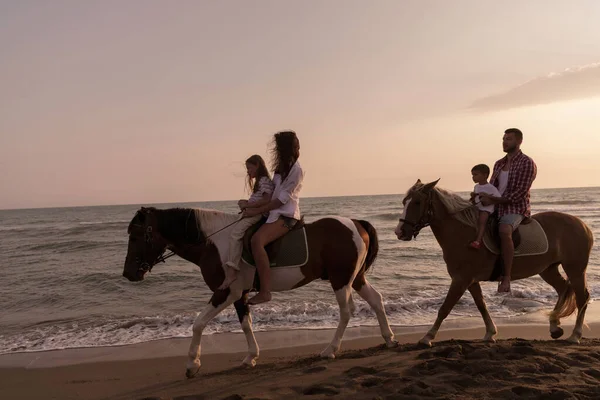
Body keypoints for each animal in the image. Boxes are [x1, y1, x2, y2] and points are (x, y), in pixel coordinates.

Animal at [122, 208, 398, 376]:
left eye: (135, 236)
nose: (128, 273)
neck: (214, 243)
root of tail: (356, 223)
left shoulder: (226, 292)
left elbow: (198, 323)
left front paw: (192, 364)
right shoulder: (240, 294)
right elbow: (246, 324)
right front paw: (250, 357)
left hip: (341, 280)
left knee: (346, 311)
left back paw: (330, 349)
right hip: (355, 278)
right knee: (376, 300)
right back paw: (388, 338)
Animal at [394, 180, 596, 346]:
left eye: (417, 202)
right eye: (404, 202)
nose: (400, 232)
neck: (464, 234)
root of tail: (583, 225)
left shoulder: (460, 280)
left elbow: (445, 308)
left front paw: (427, 337)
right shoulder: (470, 281)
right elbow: (481, 306)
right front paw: (490, 333)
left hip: (575, 269)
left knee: (582, 297)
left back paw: (575, 335)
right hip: (548, 269)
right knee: (564, 289)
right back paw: (554, 327)